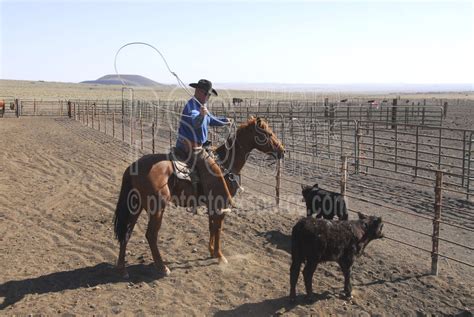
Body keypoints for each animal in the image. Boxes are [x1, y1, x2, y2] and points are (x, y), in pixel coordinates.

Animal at [114, 116, 286, 276]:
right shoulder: (221, 204)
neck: (225, 164)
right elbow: (218, 228)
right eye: (269, 133)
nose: (283, 151)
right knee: (150, 235)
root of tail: (133, 166)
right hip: (157, 209)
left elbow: (211, 227)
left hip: (135, 206)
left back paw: (122, 269)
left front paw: (211, 251)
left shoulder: (212, 205)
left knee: (126, 232)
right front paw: (219, 256)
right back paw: (162, 267)